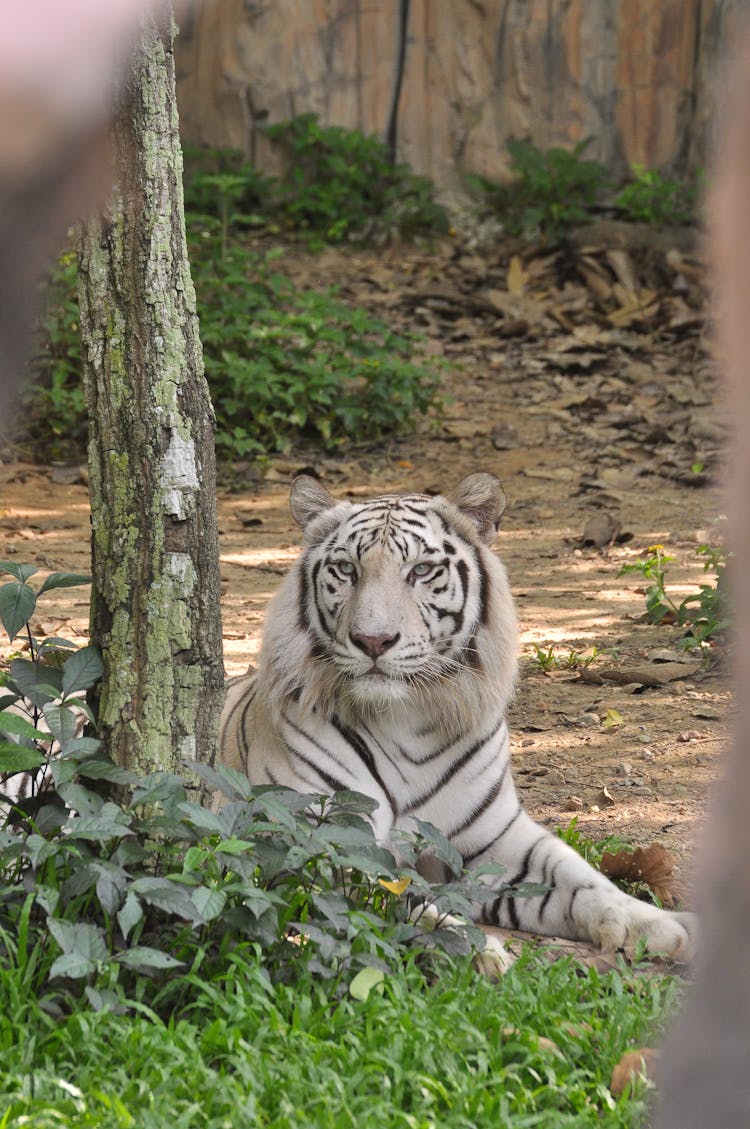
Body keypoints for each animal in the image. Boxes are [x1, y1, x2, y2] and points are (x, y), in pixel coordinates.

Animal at [220, 469, 695, 961]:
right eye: (347, 569)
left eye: (421, 570)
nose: (373, 641)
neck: (404, 718)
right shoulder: (313, 839)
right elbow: (389, 895)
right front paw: (475, 949)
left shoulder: (497, 837)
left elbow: (583, 878)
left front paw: (663, 926)